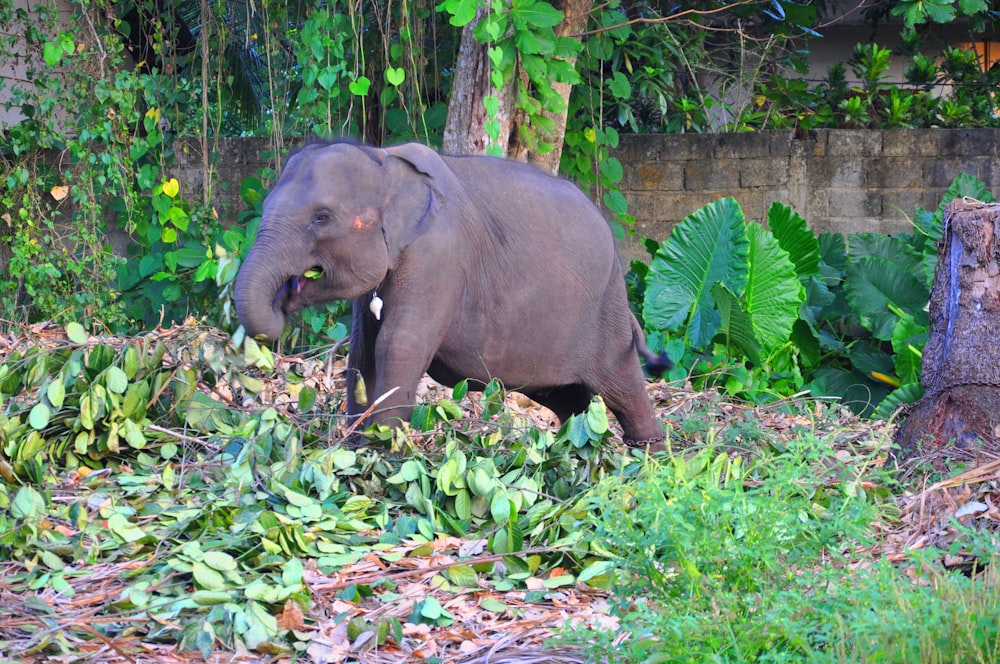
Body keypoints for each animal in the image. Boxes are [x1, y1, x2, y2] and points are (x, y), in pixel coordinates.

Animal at [235, 142, 672, 448]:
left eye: (321, 218)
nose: (284, 298)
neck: (387, 163)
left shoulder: (440, 256)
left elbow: (399, 344)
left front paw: (382, 449)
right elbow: (362, 352)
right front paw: (357, 446)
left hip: (606, 307)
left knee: (622, 382)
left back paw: (646, 453)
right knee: (568, 397)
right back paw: (576, 448)